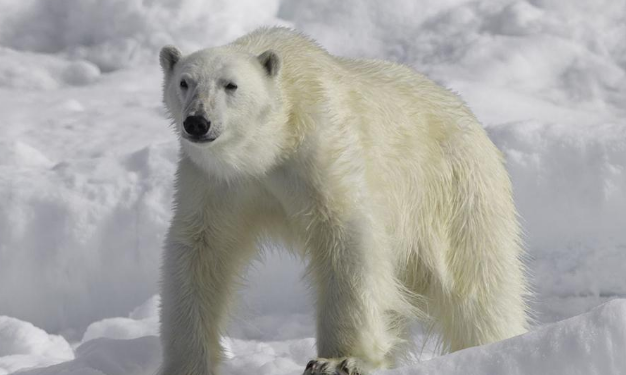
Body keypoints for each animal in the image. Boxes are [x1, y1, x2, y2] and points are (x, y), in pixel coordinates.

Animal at [156, 27, 528, 375]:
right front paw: (186, 363)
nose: (197, 121)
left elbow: (346, 237)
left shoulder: (321, 150)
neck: (269, 145)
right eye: (185, 82)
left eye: (230, 85)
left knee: (479, 287)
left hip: (455, 193)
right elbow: (201, 250)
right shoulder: (216, 182)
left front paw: (337, 360)